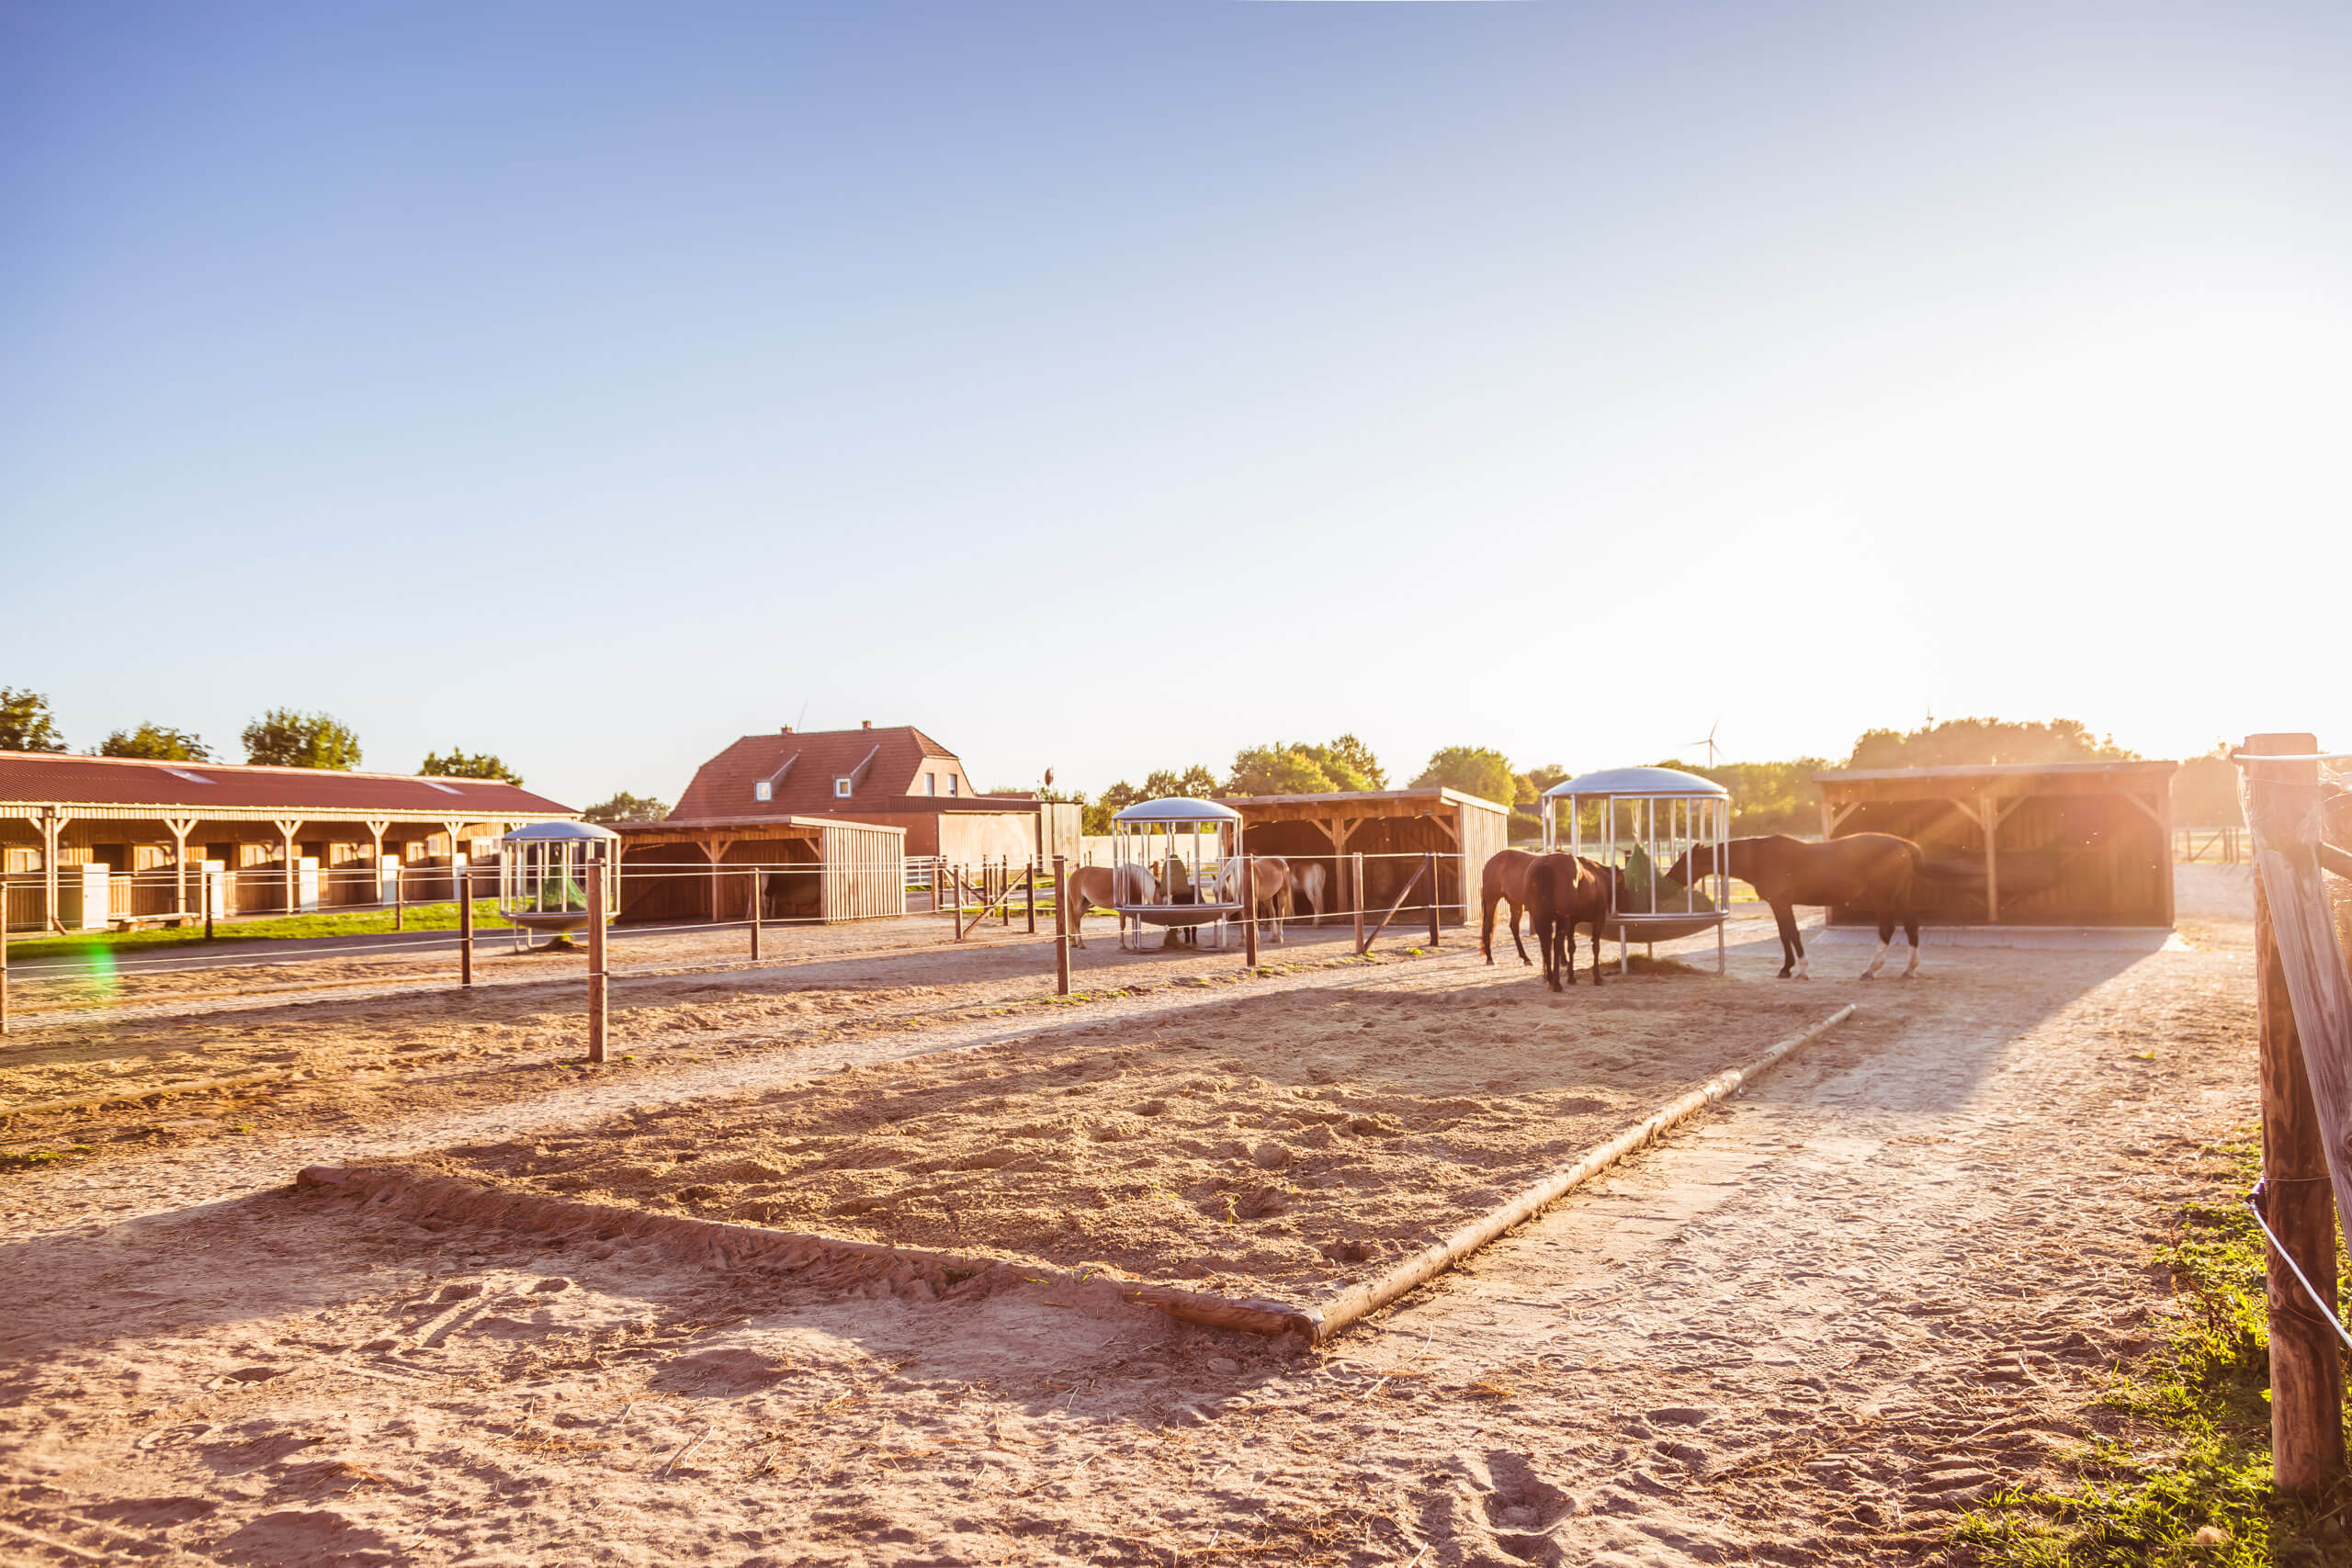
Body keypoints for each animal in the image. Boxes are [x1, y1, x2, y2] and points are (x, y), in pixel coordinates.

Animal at [1467, 846, 1543, 968]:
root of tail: (1490, 862)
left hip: (1515, 903)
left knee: (1514, 927)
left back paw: (1525, 958)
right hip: (1492, 901)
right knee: (1488, 926)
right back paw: (1490, 958)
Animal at [1523, 851, 1618, 987]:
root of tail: (1546, 865)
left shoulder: (1572, 923)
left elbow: (1571, 947)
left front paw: (1571, 977)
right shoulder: (1598, 919)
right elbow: (1595, 946)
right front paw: (1597, 977)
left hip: (1541, 918)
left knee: (1546, 944)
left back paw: (1550, 978)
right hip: (1562, 919)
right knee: (1556, 943)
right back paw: (1556, 984)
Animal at [1665, 831, 1918, 982]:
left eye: (1682, 862)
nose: (1666, 881)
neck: (1759, 858)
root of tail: (1902, 845)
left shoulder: (1782, 903)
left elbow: (1792, 933)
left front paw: (1802, 969)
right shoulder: (1778, 905)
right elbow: (1784, 934)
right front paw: (1786, 968)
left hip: (1883, 897)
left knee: (1887, 929)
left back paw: (1871, 969)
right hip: (1901, 897)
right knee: (1911, 926)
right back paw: (1909, 969)